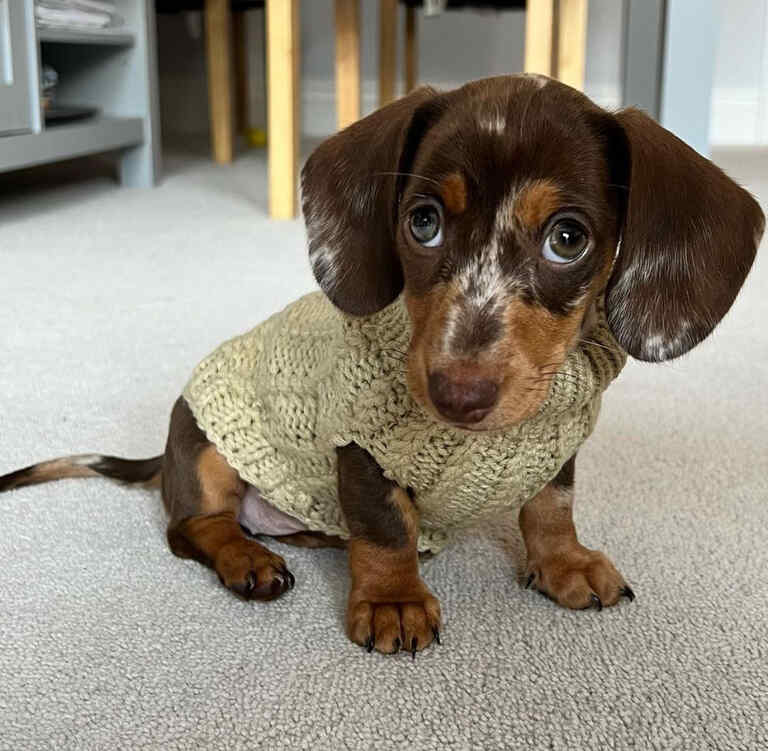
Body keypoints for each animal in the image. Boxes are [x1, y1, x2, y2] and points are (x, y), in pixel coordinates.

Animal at [1, 73, 760, 656]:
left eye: (567, 238)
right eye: (422, 221)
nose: (456, 395)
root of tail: (164, 450)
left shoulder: (556, 440)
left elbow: (551, 505)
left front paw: (564, 562)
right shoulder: (361, 445)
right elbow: (387, 526)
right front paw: (394, 599)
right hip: (208, 443)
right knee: (192, 527)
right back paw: (249, 558)